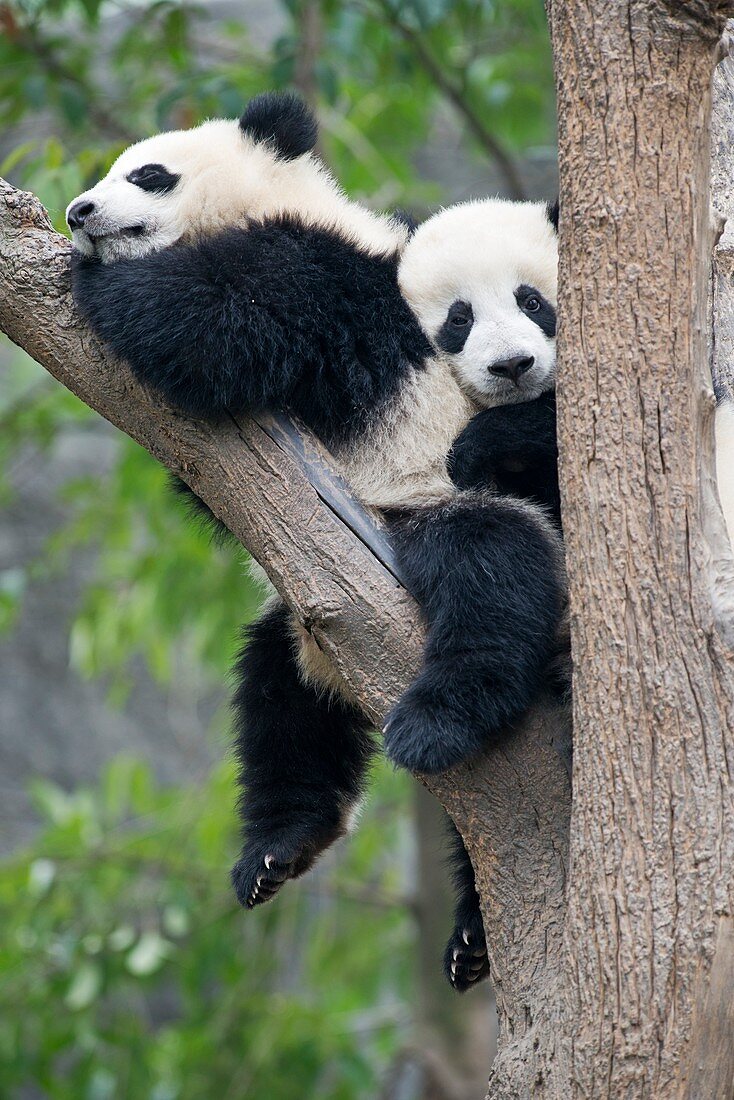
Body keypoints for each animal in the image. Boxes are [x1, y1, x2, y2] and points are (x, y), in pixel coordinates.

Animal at [64, 94, 567, 985]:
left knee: (492, 572)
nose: (79, 212)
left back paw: (438, 725)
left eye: (149, 173)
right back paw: (284, 849)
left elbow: (214, 322)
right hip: (311, 610)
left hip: (444, 515)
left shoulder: (320, 274)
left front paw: (93, 276)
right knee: (282, 708)